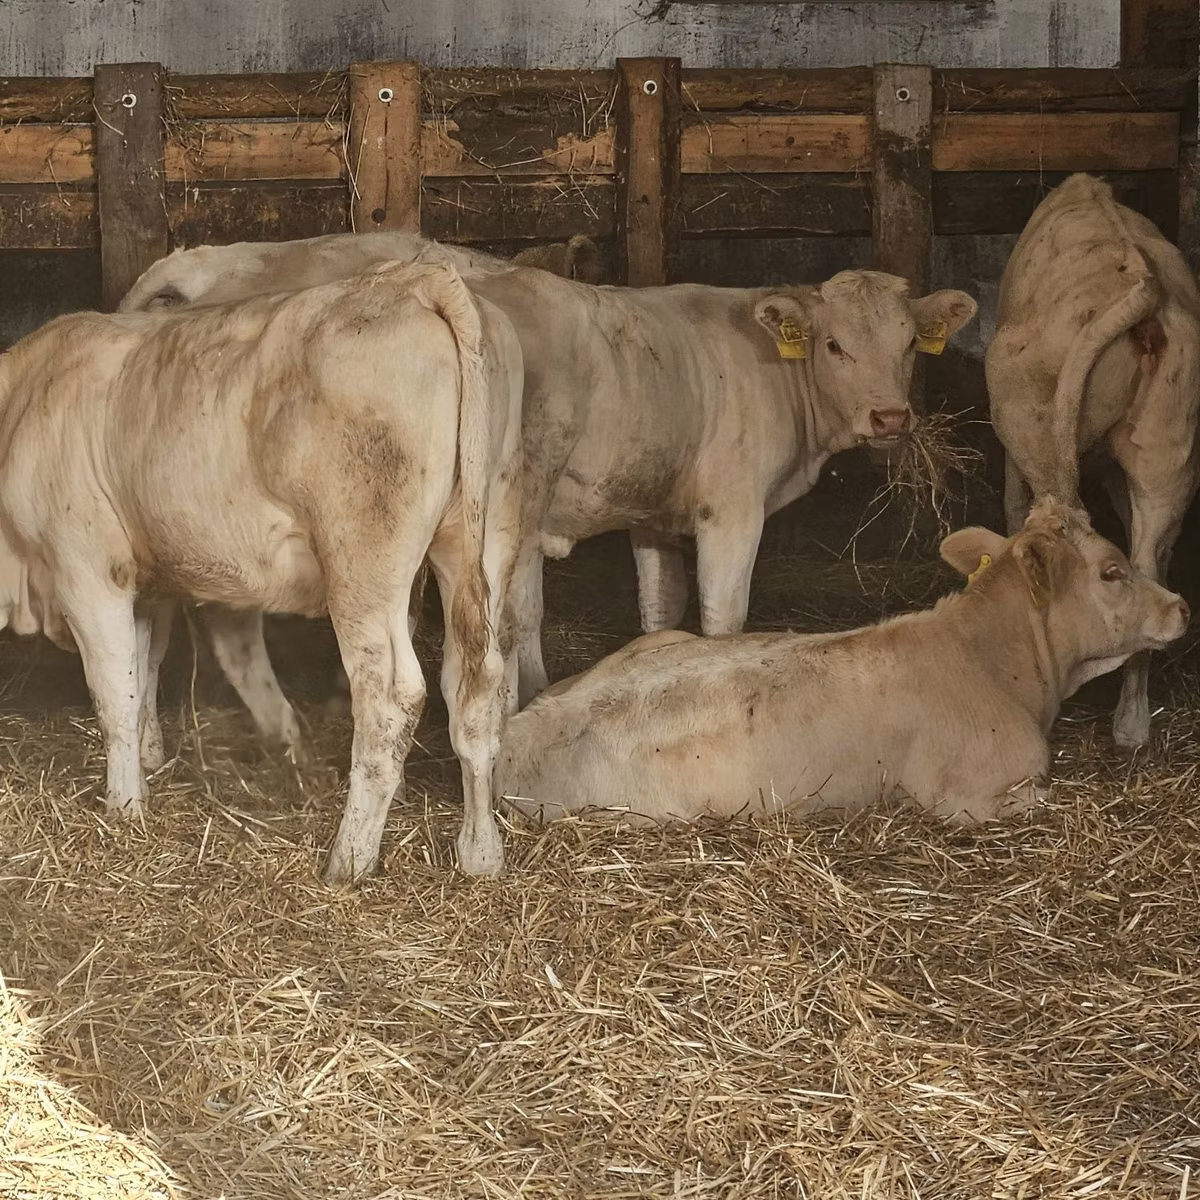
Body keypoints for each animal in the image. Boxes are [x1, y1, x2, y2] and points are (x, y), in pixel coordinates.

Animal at [0, 259, 524, 883]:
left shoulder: (87, 570)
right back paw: (481, 852)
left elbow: (114, 693)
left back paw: (348, 859)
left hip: (364, 565)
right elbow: (144, 665)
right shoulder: (147, 576)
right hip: (484, 535)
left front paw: (125, 805)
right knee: (478, 684)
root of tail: (412, 280)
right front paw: (152, 759)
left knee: (390, 698)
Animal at [121, 241, 978, 716]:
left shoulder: (652, 512)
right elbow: (723, 617)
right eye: (834, 345)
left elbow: (660, 611)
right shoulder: (730, 510)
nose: (892, 418)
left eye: (910, 343)